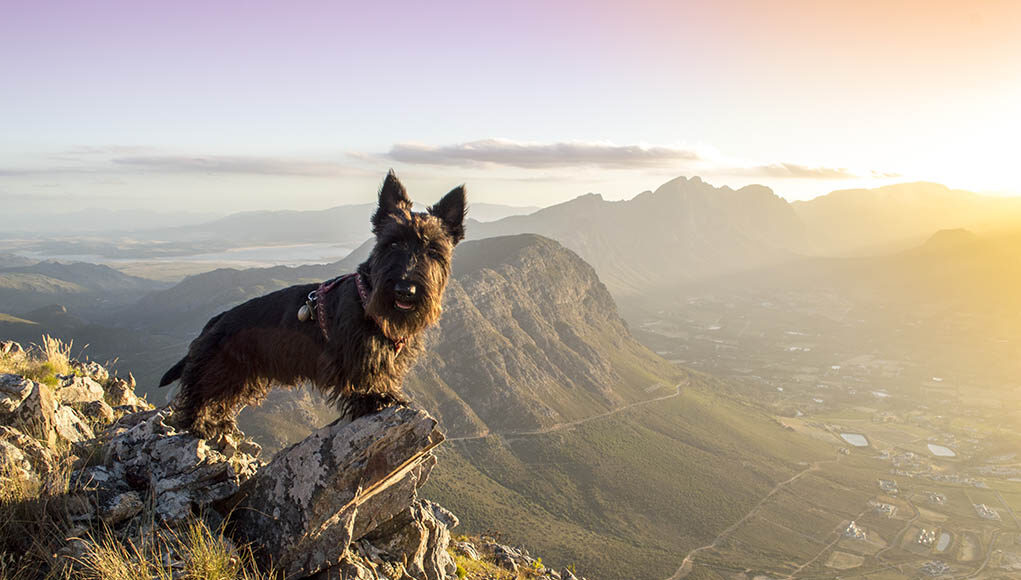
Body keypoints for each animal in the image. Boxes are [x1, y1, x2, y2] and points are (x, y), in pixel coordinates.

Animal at [158, 172, 467, 439]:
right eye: (392, 243)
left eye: (433, 250)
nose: (405, 290)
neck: (367, 298)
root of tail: (216, 320)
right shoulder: (354, 355)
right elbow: (362, 379)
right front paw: (374, 398)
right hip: (220, 369)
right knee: (197, 395)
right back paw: (199, 425)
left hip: (243, 377)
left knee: (221, 398)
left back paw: (219, 423)